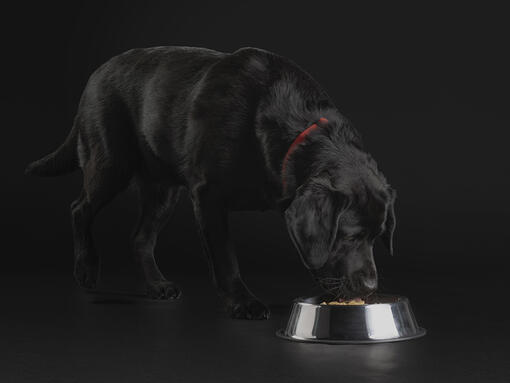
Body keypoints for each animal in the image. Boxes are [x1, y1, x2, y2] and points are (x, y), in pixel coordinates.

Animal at [25, 46, 396, 320]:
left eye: (377, 237)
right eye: (349, 236)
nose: (370, 286)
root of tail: (95, 73)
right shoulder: (208, 196)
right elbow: (224, 255)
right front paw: (242, 302)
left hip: (163, 192)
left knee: (139, 238)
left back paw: (157, 285)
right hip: (110, 165)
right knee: (79, 208)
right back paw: (86, 268)